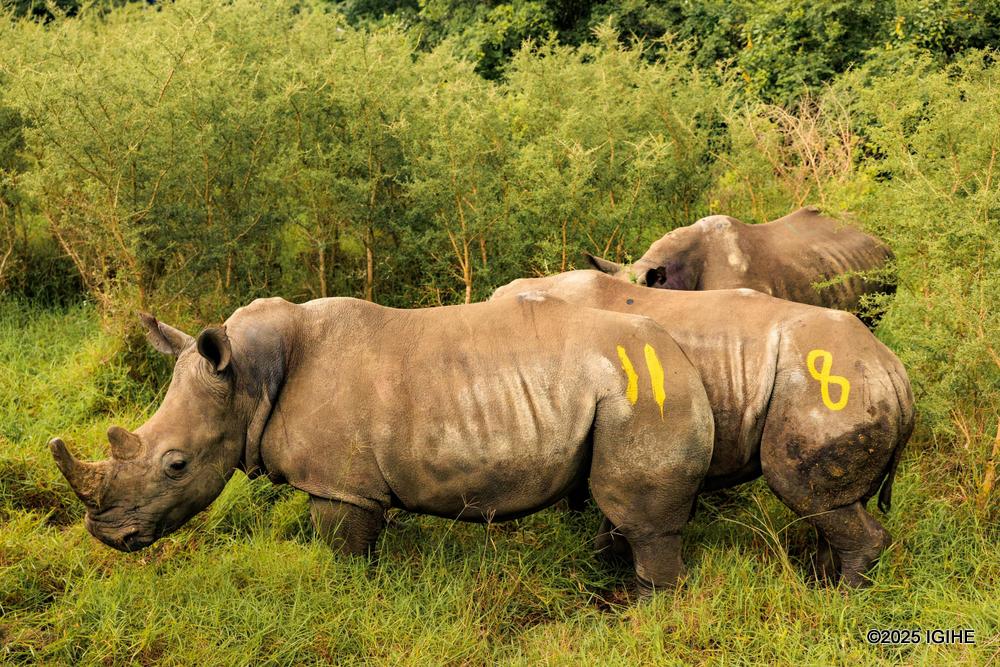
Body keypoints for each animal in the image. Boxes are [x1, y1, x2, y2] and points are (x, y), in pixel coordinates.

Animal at [50, 293, 715, 595]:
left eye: (176, 464)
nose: (107, 537)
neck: (248, 378)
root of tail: (682, 352)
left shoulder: (341, 487)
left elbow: (343, 552)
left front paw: (346, 595)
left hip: (643, 392)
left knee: (643, 514)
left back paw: (646, 606)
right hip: (623, 390)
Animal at [493, 271, 914, 585]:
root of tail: (894, 372)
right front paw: (610, 565)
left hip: (832, 388)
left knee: (804, 490)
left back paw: (844, 597)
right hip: (848, 385)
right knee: (835, 505)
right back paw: (823, 584)